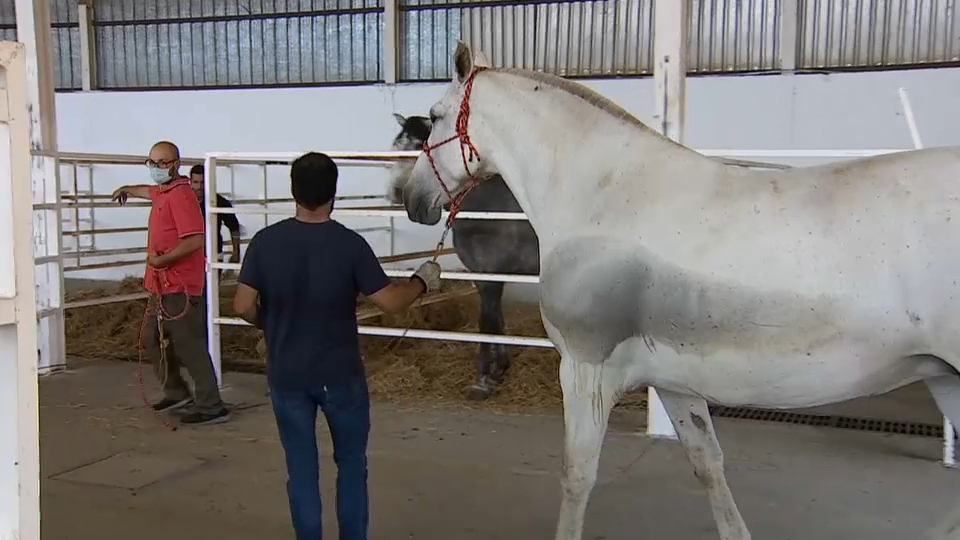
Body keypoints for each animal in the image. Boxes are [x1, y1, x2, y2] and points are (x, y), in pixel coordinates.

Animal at [388, 113, 540, 400]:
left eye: (418, 146)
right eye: (395, 147)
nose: (396, 194)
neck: (483, 206)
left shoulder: (489, 277)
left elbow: (486, 324)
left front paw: (483, 381)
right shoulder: (488, 278)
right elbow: (496, 321)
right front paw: (500, 370)